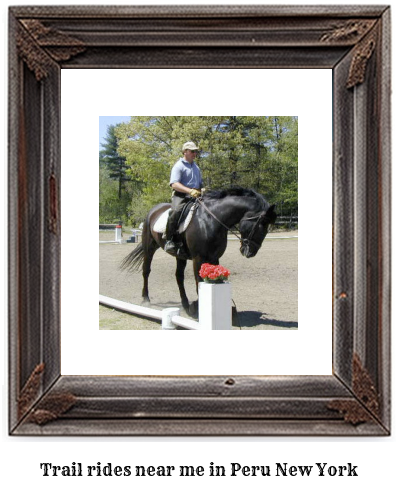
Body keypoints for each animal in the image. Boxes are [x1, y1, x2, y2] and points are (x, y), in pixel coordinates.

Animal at [122, 186, 276, 318]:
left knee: (179, 277)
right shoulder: (198, 258)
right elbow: (199, 283)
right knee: (146, 271)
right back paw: (146, 299)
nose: (250, 252)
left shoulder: (214, 257)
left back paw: (185, 304)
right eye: (260, 225)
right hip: (149, 248)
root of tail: (153, 210)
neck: (212, 220)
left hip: (180, 256)